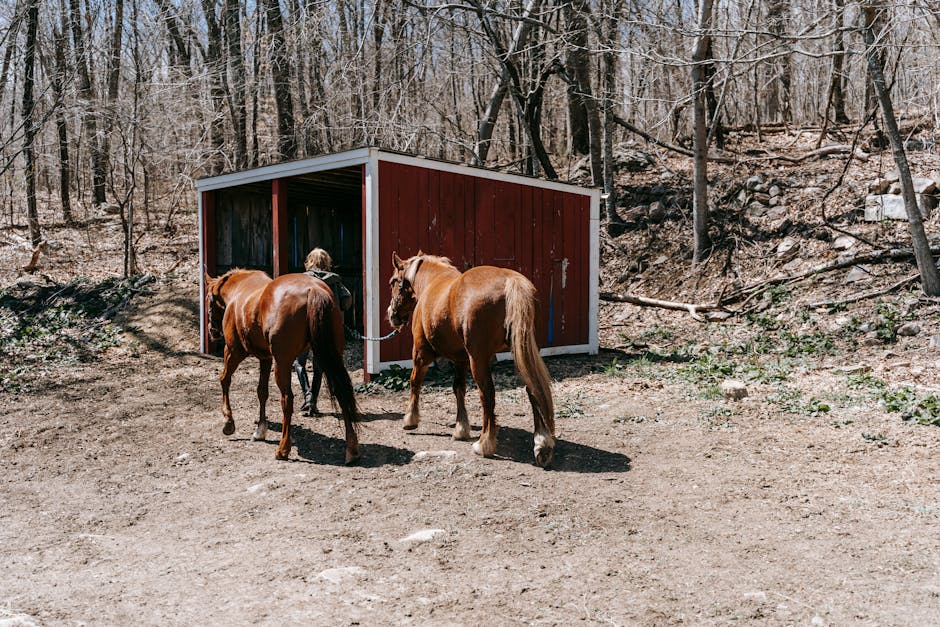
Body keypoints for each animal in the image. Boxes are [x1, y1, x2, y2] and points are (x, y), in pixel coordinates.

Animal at [202, 270, 360, 466]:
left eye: (209, 299)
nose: (212, 331)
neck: (238, 291)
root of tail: (314, 290)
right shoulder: (265, 358)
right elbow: (262, 391)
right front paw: (260, 429)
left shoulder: (233, 351)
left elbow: (224, 380)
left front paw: (228, 422)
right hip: (330, 356)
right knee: (341, 392)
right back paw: (352, 449)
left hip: (282, 363)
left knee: (287, 399)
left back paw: (283, 449)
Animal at [386, 254, 556, 466]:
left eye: (393, 282)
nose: (392, 314)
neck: (431, 282)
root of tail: (511, 280)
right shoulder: (460, 359)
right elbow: (458, 388)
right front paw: (461, 428)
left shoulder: (421, 353)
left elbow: (414, 382)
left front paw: (410, 419)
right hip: (523, 352)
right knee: (533, 389)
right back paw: (542, 444)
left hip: (479, 359)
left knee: (487, 395)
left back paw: (484, 444)